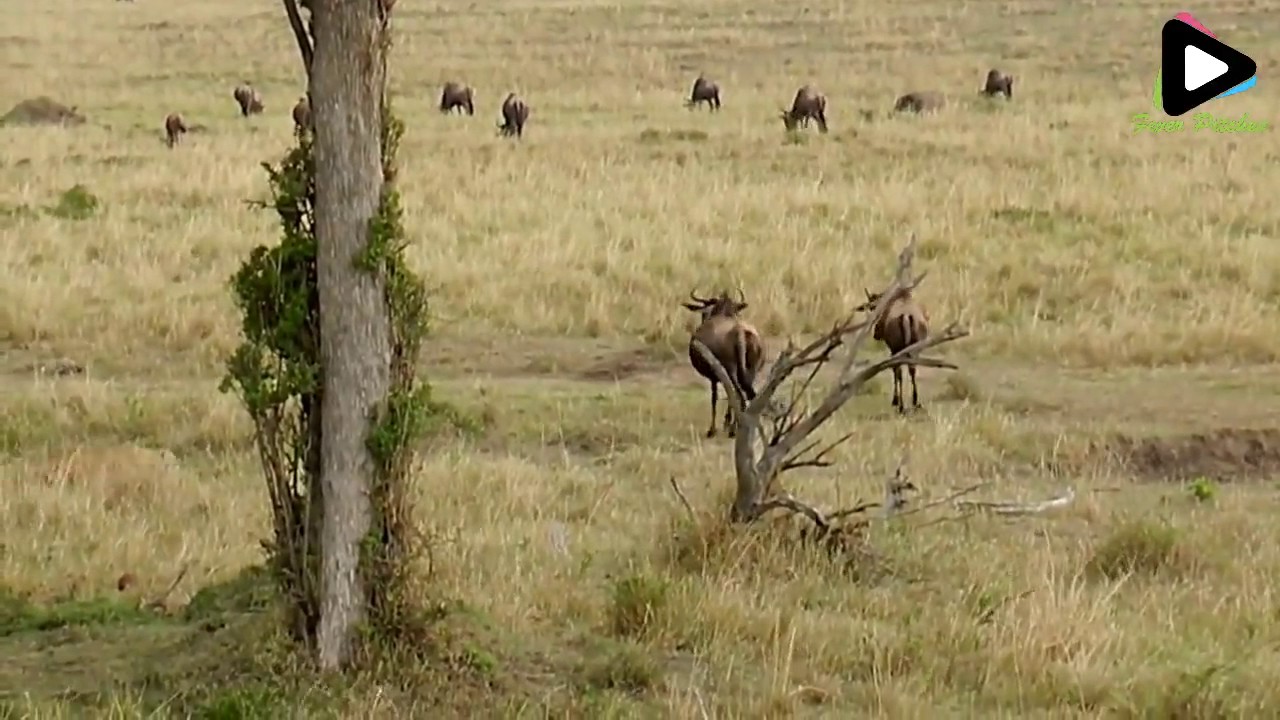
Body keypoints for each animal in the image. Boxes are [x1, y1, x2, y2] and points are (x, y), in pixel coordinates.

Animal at [682, 289, 766, 438]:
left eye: (704, 312)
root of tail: (740, 332)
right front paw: (726, 421)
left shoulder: (713, 377)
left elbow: (714, 398)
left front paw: (712, 430)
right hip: (750, 371)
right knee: (744, 395)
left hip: (731, 371)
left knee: (739, 396)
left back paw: (734, 430)